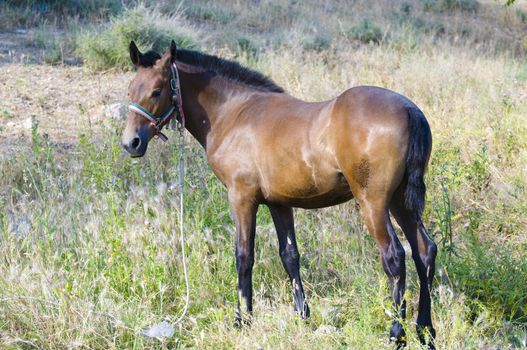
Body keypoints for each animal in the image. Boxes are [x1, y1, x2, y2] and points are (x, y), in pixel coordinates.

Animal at [122, 40, 438, 348]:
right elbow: (290, 256)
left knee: (394, 257)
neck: (234, 112)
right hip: (401, 203)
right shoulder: (279, 203)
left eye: (157, 90)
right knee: (424, 251)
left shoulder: (242, 198)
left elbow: (244, 256)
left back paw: (396, 333)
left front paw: (242, 320)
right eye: (130, 89)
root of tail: (409, 110)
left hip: (373, 203)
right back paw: (425, 330)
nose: (130, 143)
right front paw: (302, 315)